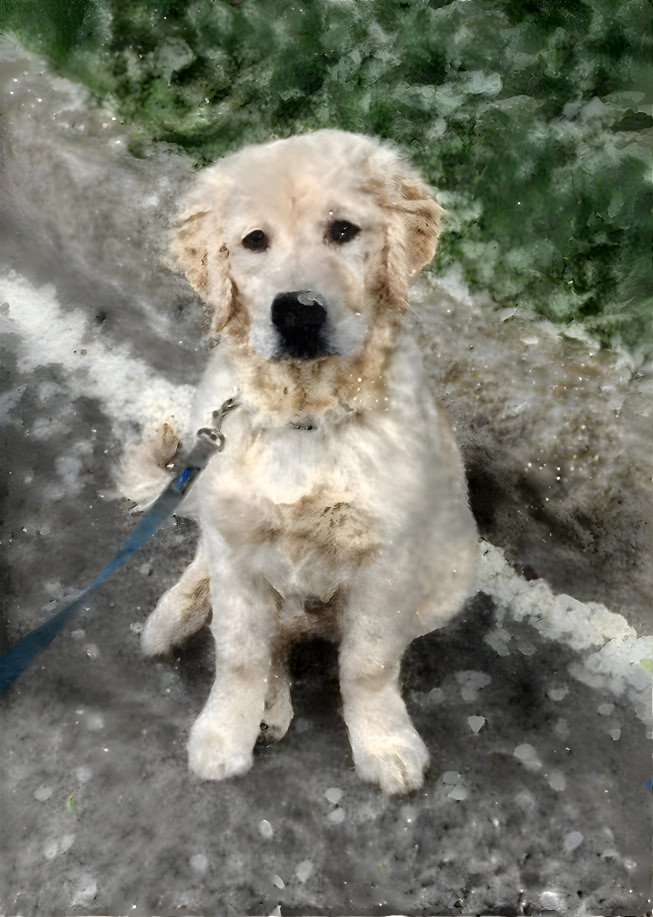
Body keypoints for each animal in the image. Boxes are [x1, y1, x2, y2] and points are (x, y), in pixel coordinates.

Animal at [140, 131, 476, 796]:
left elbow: (368, 664)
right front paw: (225, 731)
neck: (306, 416)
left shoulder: (386, 564)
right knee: (219, 591)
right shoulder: (237, 550)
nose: (297, 311)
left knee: (300, 633)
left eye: (342, 231)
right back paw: (176, 624)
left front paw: (384, 741)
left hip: (455, 575)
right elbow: (239, 652)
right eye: (254, 241)